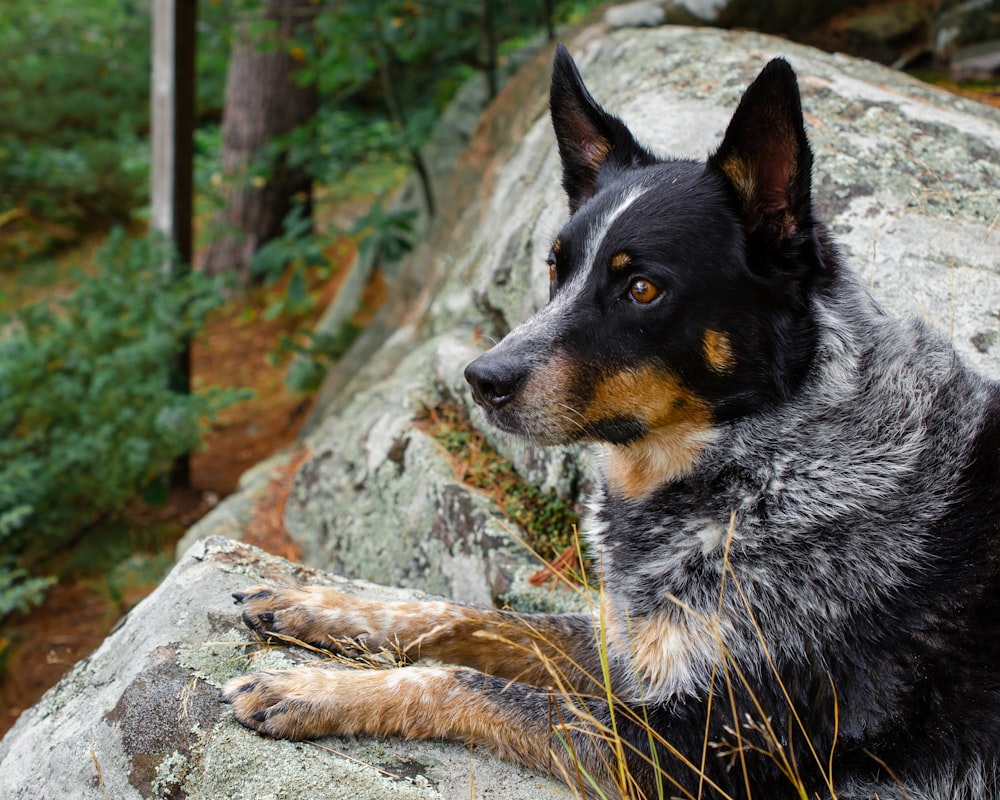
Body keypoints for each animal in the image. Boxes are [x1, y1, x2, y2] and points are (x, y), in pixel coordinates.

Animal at [221, 45, 1000, 800]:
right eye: (554, 267)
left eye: (642, 288)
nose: (483, 379)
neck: (764, 463)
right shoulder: (626, 642)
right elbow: (470, 617)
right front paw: (316, 605)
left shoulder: (701, 750)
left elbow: (466, 681)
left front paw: (316, 689)